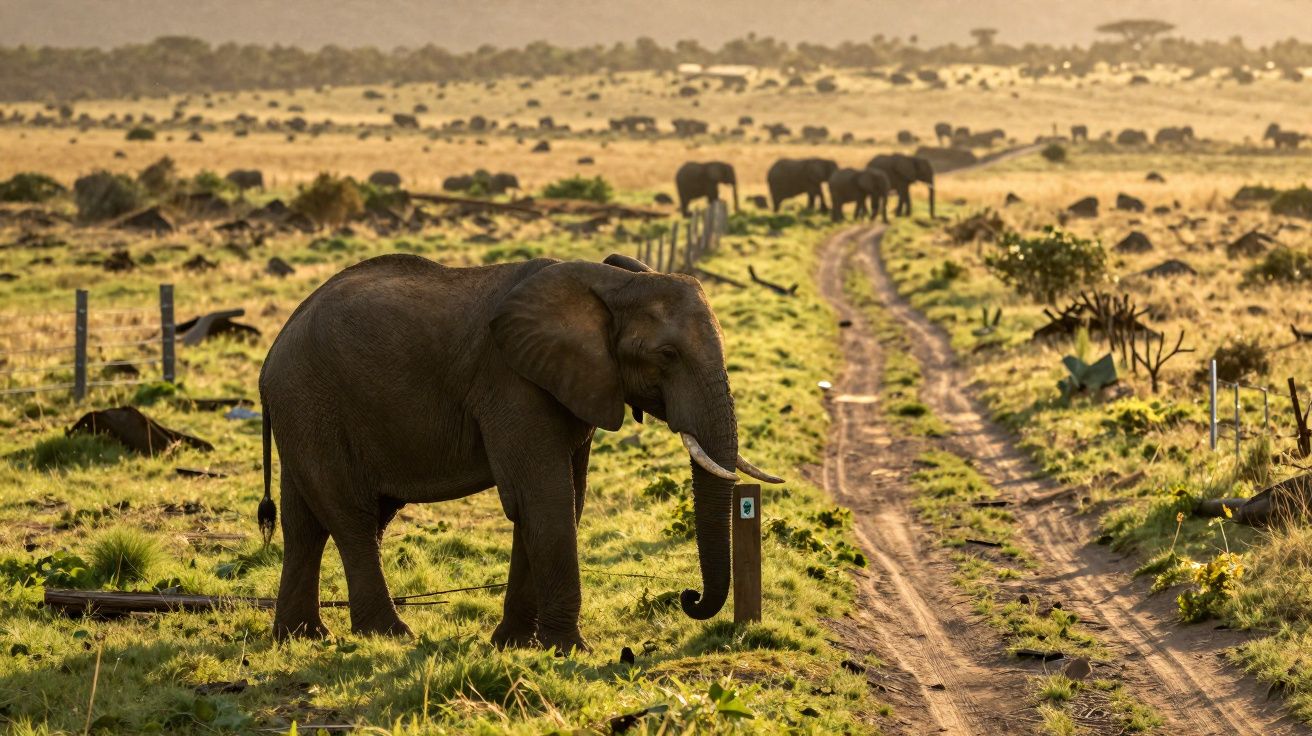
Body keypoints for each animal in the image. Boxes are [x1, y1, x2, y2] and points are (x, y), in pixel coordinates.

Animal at [259, 253, 782, 651]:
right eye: (667, 355)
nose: (688, 597)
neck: (611, 284)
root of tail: (273, 349)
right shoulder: (512, 383)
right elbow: (543, 498)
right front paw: (569, 650)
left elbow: (561, 501)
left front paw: (513, 645)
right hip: (312, 402)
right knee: (352, 517)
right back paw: (390, 635)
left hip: (304, 411)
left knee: (307, 523)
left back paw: (301, 638)